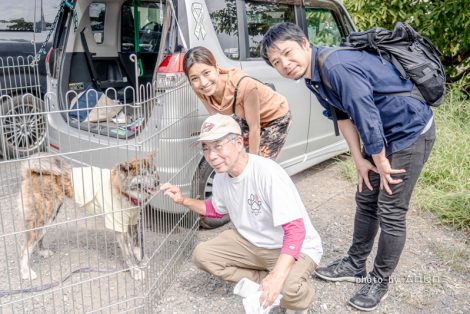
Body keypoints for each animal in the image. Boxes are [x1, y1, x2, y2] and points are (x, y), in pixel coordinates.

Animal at [18, 153, 160, 280]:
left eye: (153, 171)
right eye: (142, 173)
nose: (158, 182)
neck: (123, 191)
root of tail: (32, 172)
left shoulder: (133, 221)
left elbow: (137, 244)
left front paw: (142, 259)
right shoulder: (118, 226)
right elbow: (128, 254)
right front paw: (135, 271)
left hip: (49, 217)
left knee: (39, 237)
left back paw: (42, 252)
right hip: (43, 216)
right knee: (25, 247)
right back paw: (26, 272)